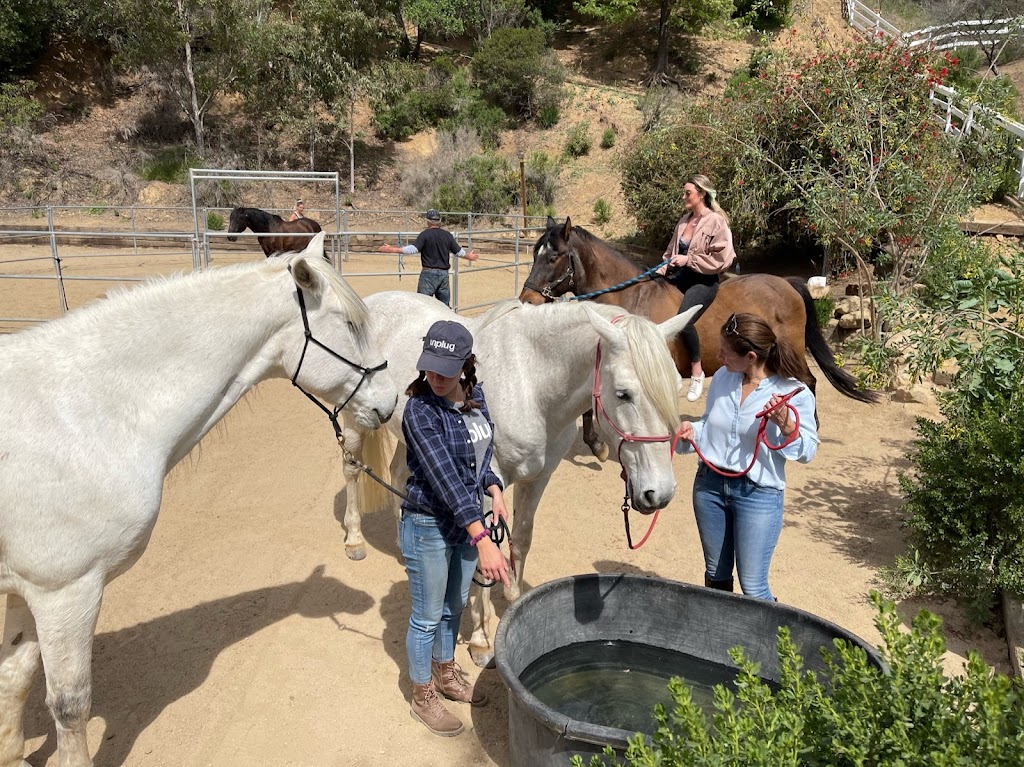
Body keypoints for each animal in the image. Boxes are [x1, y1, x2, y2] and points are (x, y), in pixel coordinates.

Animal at [0, 231, 397, 765]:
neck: (83, 412)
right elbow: (70, 705)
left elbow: (15, 676)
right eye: (351, 324)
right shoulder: (66, 592)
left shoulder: (28, 591)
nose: (390, 401)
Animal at [339, 290, 700, 667]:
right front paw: (482, 640)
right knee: (351, 469)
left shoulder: (538, 478)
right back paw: (354, 540)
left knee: (398, 476)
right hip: (356, 419)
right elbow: (484, 549)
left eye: (675, 386)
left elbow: (522, 539)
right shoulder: (484, 480)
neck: (531, 384)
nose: (660, 493)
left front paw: (515, 603)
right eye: (624, 393)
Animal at [524, 215, 876, 458]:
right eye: (534, 253)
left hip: (791, 350)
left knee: (809, 382)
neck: (631, 299)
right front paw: (597, 444)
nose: (527, 300)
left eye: (553, 257)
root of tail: (787, 283)